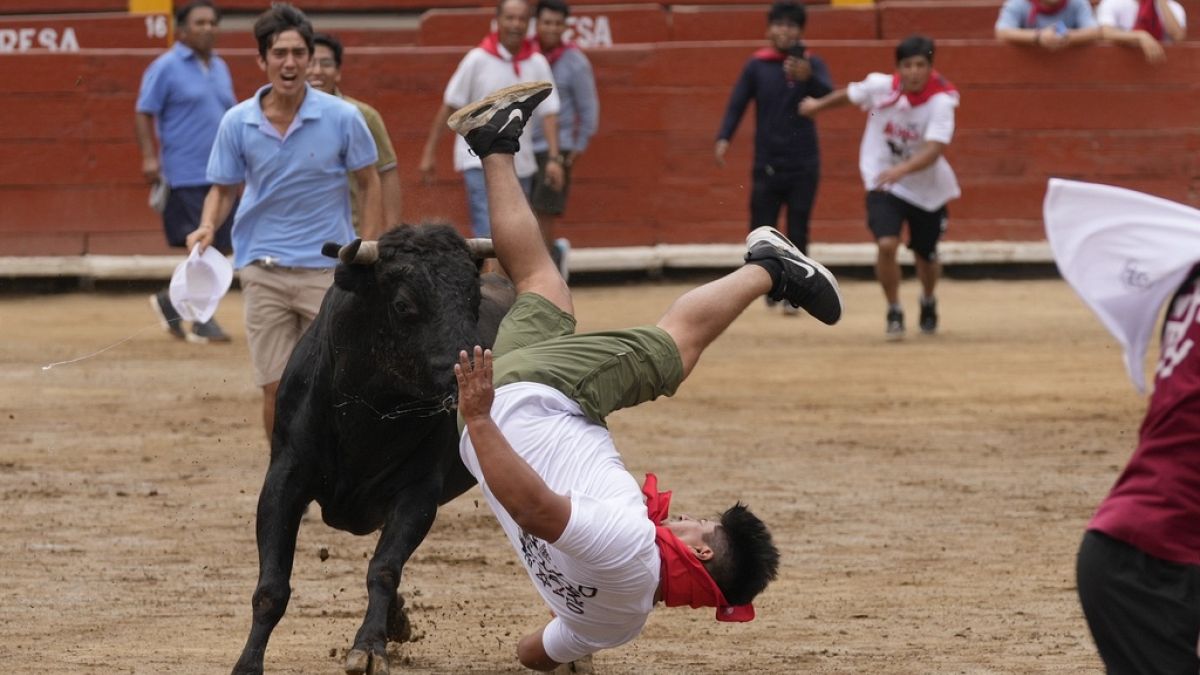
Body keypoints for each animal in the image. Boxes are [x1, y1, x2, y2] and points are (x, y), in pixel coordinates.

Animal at [234, 225, 516, 672]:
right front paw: (247, 663)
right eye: (403, 305)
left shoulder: (419, 492)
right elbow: (272, 586)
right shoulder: (284, 478)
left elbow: (383, 568)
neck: (368, 411)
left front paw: (368, 648)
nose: (477, 381)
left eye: (473, 301)